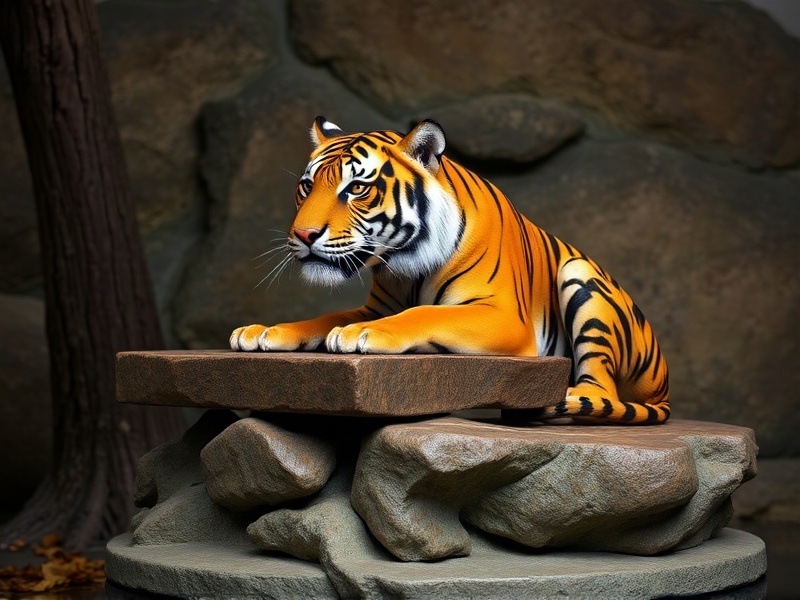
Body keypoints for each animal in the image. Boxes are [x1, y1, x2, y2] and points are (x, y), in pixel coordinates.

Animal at [230, 117, 670, 424]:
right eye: (307, 187)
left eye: (356, 189)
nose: (302, 234)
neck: (403, 261)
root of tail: (664, 385)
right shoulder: (376, 305)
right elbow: (324, 317)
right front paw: (262, 332)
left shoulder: (504, 317)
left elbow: (426, 313)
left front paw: (360, 334)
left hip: (580, 276)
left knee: (604, 388)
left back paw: (567, 397)